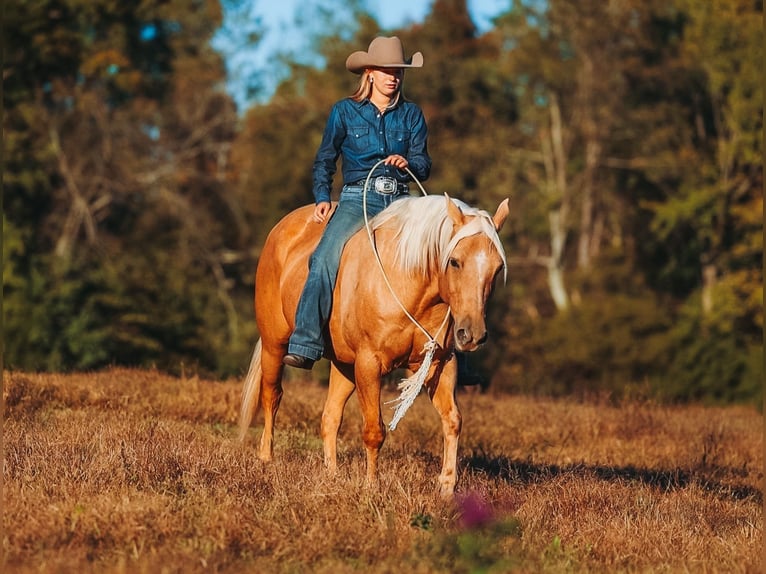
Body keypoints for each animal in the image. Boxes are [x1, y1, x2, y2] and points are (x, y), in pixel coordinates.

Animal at [238, 193, 509, 497]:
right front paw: (371, 486)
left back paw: (332, 475)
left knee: (330, 416)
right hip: (274, 345)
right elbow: (374, 430)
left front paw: (447, 487)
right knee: (272, 396)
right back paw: (266, 458)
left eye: (498, 268)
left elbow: (453, 420)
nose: (472, 335)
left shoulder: (440, 363)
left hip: (344, 365)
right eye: (454, 262)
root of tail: (281, 229)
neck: (407, 281)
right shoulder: (369, 363)